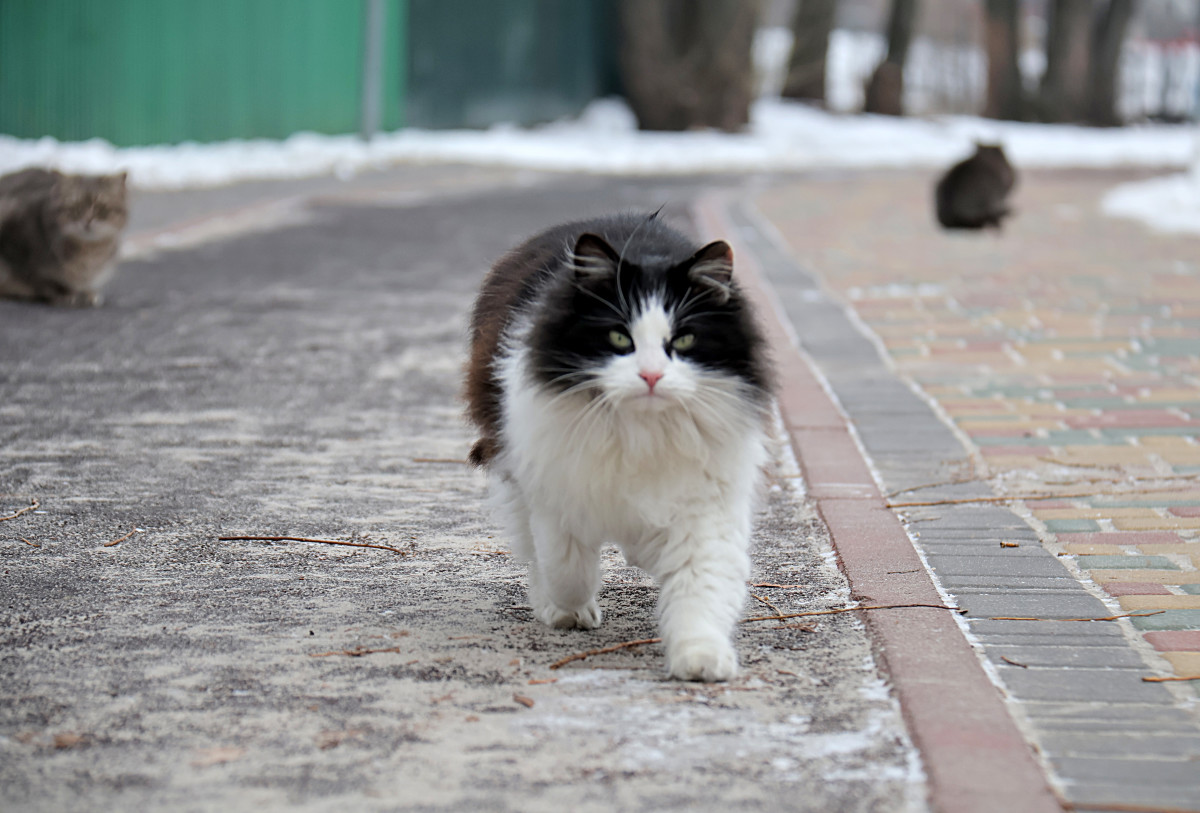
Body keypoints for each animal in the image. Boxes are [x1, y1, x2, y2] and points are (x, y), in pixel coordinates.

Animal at [0, 166, 129, 306]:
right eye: (76, 207)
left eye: (100, 207)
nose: (87, 220)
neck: (89, 252)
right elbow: (37, 279)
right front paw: (64, 294)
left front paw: (87, 294)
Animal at [463, 213, 772, 685]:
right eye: (619, 339)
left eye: (683, 342)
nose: (651, 376)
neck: (640, 430)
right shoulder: (553, 486)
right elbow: (565, 566)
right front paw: (570, 609)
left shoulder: (706, 506)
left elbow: (700, 584)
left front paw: (701, 658)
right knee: (534, 550)